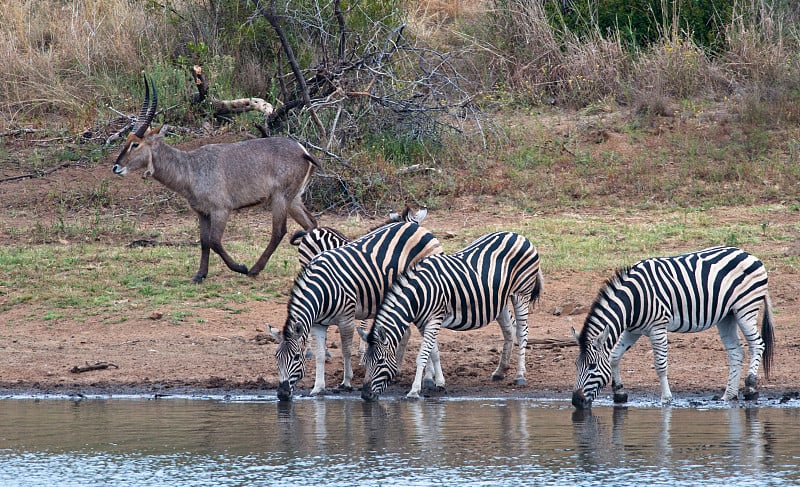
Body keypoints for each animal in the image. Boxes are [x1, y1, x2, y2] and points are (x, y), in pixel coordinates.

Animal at [112, 76, 318, 282]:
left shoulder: (221, 210)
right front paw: (200, 275)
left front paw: (240, 267)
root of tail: (303, 150)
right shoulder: (202, 213)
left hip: (280, 198)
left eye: (135, 144)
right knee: (311, 224)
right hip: (293, 199)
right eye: (126, 140)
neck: (190, 168)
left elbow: (215, 241)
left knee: (279, 231)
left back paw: (254, 269)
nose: (116, 167)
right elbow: (204, 242)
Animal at [276, 220, 444, 400]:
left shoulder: (346, 318)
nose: (282, 394)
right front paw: (318, 387)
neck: (322, 290)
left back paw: (431, 379)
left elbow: (346, 351)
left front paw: (346, 381)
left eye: (296, 357)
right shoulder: (317, 324)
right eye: (276, 358)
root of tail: (417, 226)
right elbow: (319, 354)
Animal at [360, 231, 544, 402]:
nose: (365, 395)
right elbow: (433, 352)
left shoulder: (434, 318)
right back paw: (500, 371)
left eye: (380, 362)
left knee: (522, 331)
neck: (418, 294)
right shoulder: (423, 322)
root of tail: (519, 236)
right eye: (365, 362)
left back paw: (520, 376)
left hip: (521, 293)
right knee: (509, 330)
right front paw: (440, 382)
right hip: (500, 300)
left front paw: (414, 391)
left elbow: (422, 356)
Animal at [572, 246, 780, 410]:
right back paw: (728, 395)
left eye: (591, 367)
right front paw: (619, 392)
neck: (633, 300)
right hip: (727, 316)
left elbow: (660, 364)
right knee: (736, 352)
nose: (575, 401)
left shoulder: (657, 326)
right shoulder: (633, 330)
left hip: (746, 307)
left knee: (757, 344)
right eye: (576, 365)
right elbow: (614, 356)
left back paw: (750, 386)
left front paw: (666, 399)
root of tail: (750, 255)